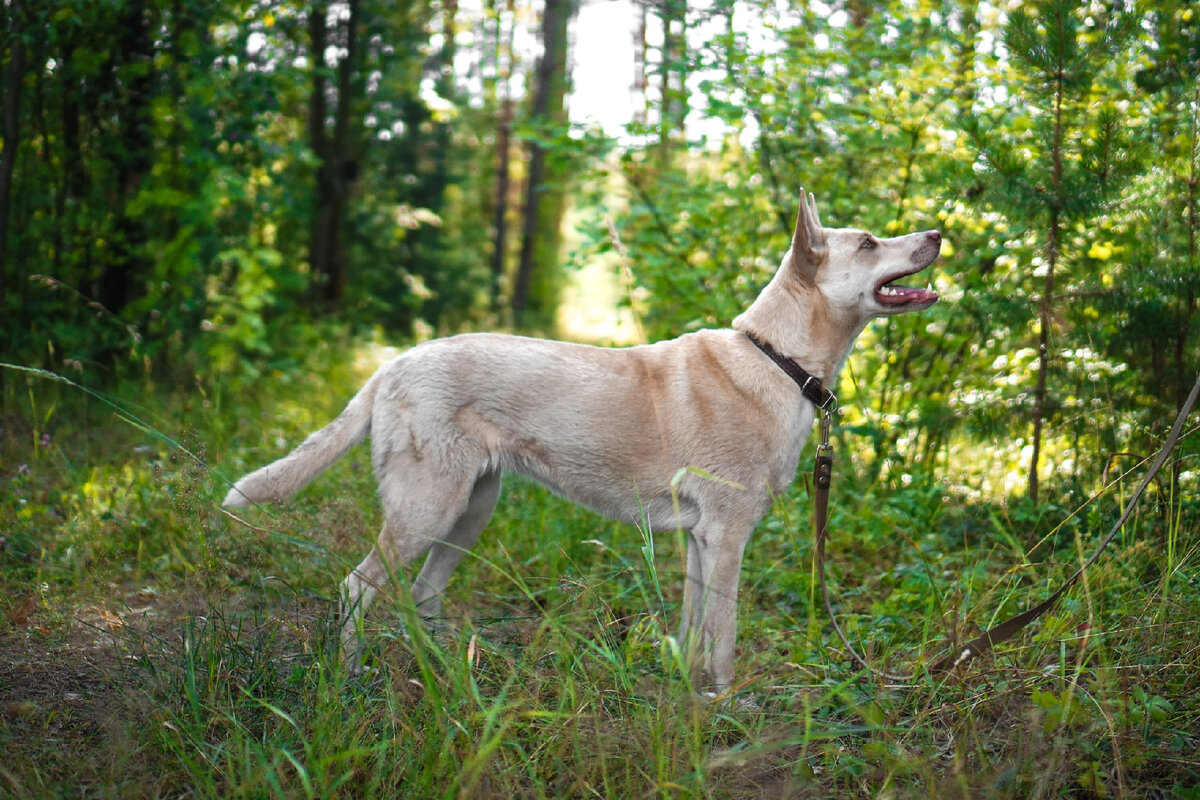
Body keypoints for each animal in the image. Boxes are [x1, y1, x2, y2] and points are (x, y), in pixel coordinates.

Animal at [223, 189, 936, 695]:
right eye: (869, 242)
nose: (935, 234)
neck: (777, 359)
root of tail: (394, 363)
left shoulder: (699, 541)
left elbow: (692, 628)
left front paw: (685, 695)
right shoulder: (727, 535)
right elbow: (726, 636)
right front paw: (725, 708)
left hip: (471, 509)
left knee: (422, 592)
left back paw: (448, 676)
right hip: (427, 508)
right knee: (356, 589)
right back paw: (350, 682)